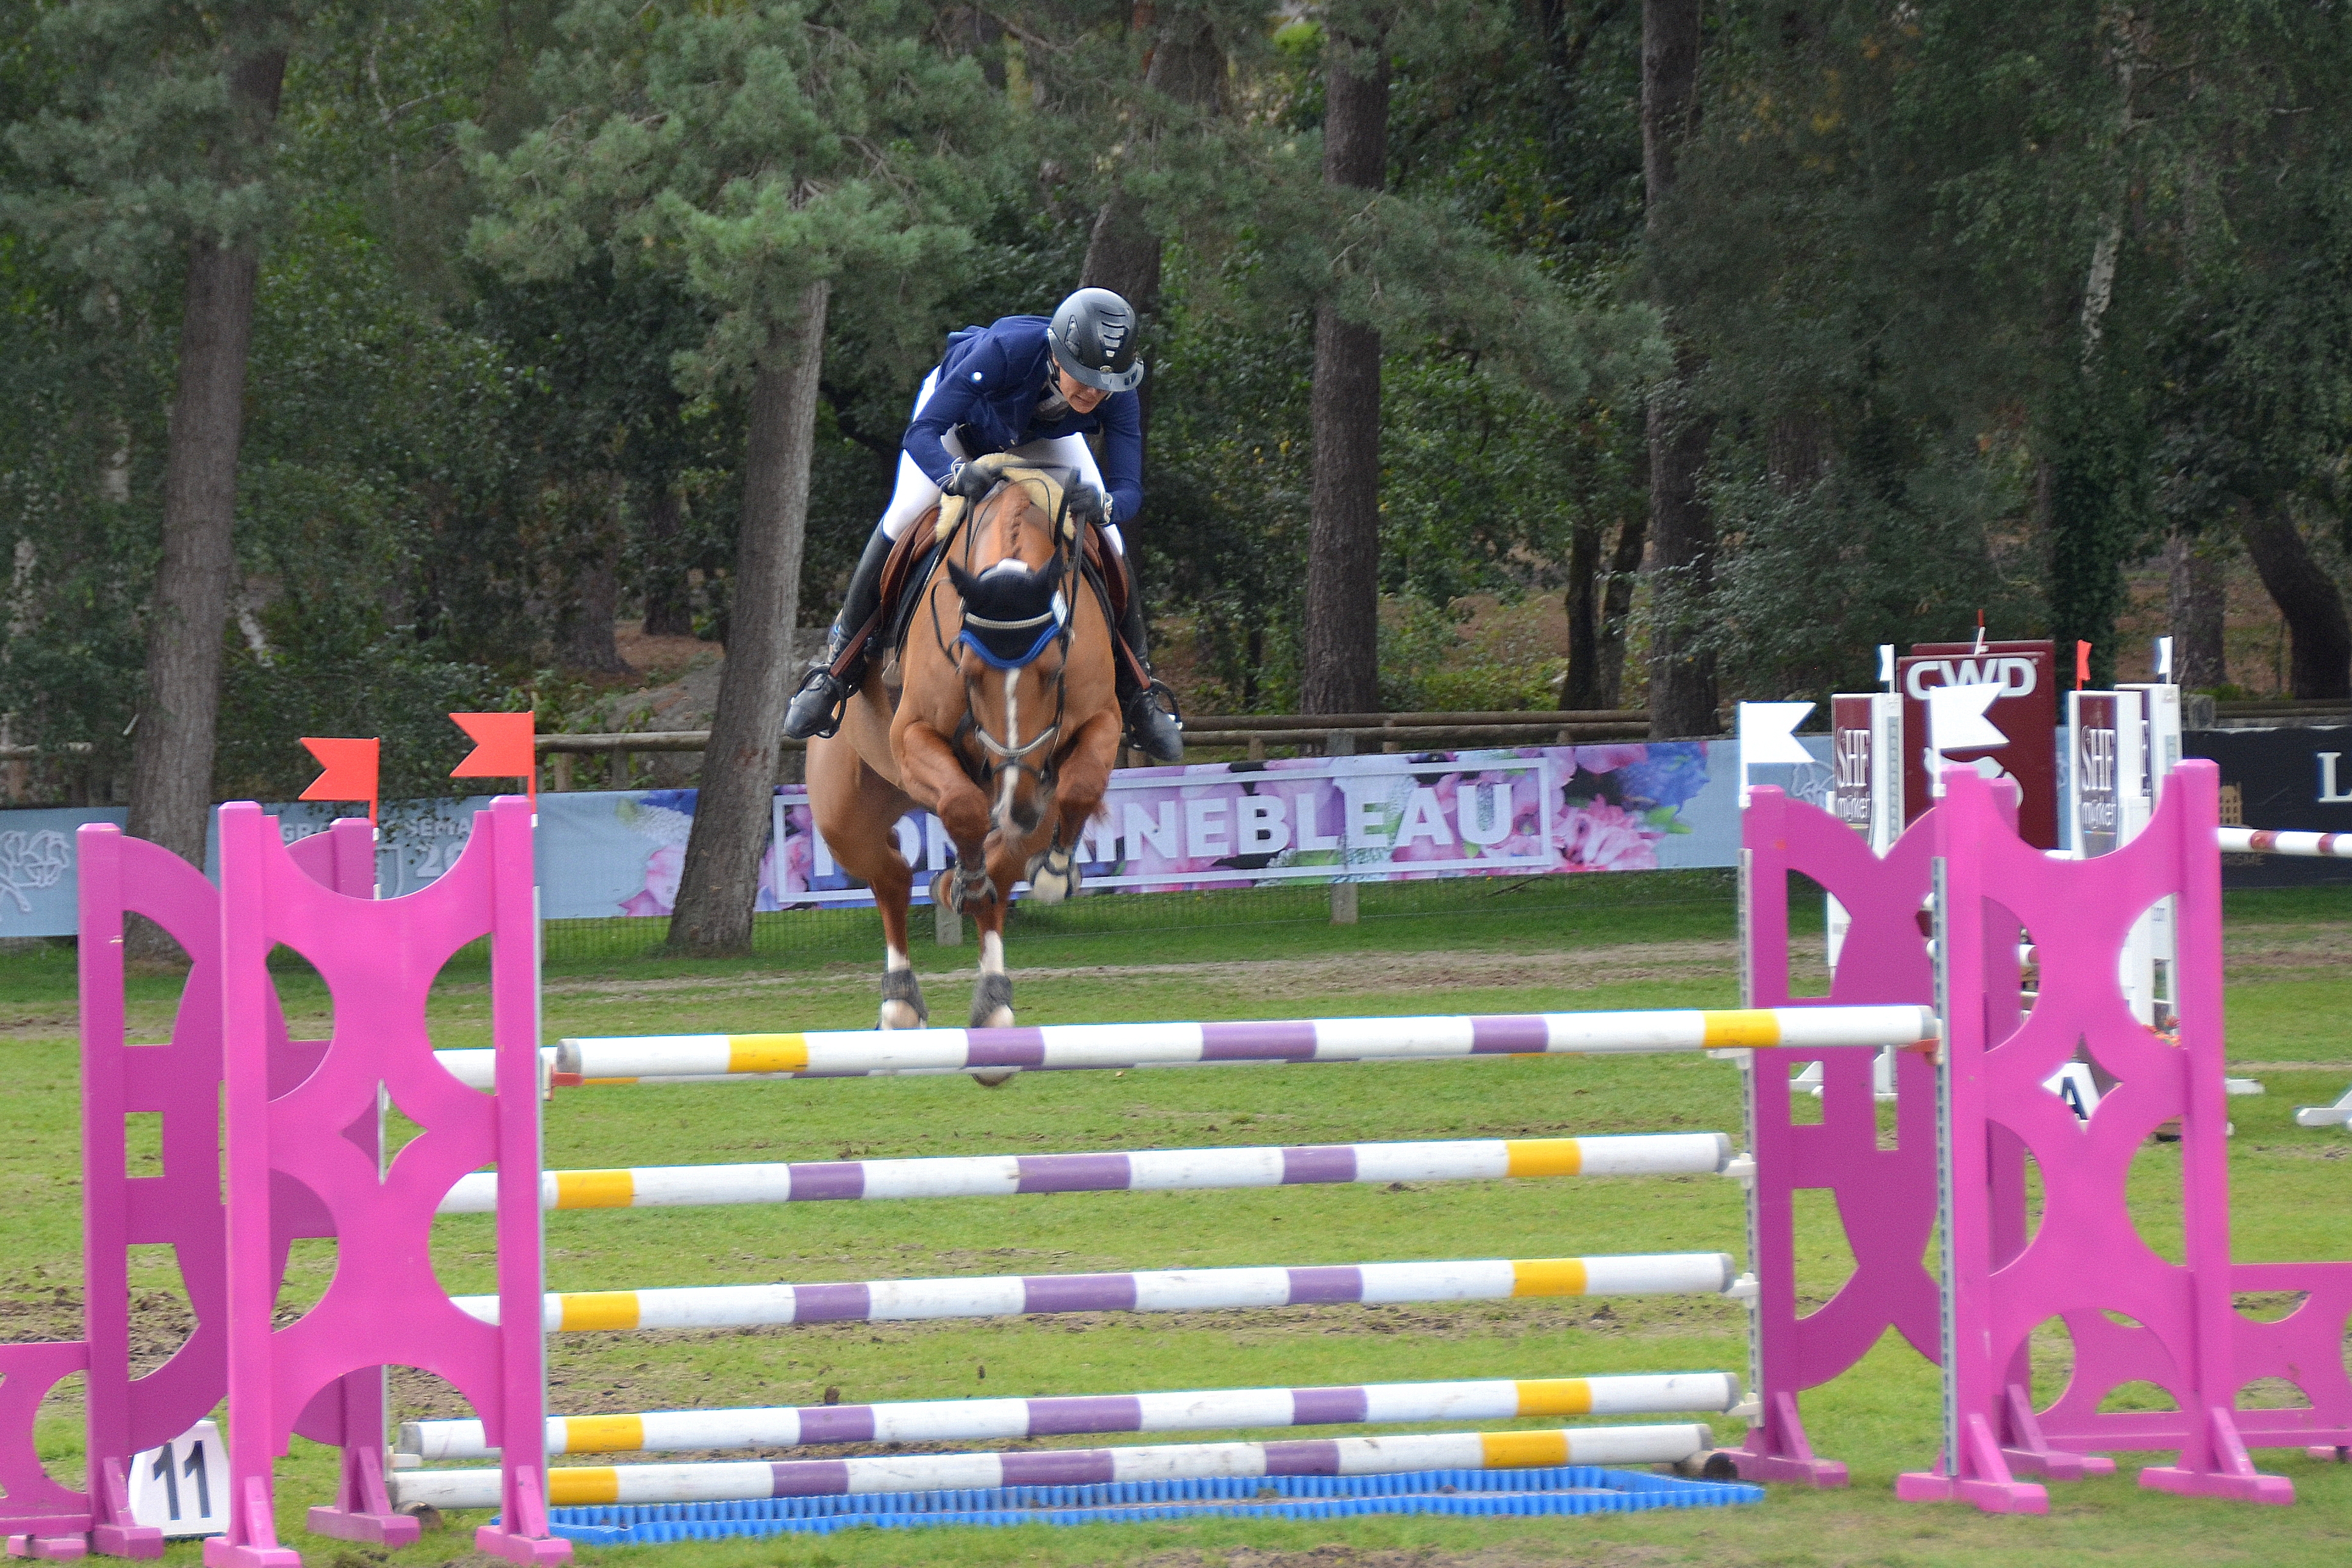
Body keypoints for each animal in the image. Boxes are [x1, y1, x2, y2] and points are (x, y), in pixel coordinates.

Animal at [809, 460, 1119, 1048]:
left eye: (1054, 671)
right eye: (969, 672)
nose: (1016, 806)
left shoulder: (1101, 723)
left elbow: (1082, 784)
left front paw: (1052, 873)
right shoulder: (912, 735)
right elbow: (961, 806)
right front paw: (964, 878)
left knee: (998, 874)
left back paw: (994, 998)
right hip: (844, 817)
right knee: (890, 876)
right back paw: (900, 1001)